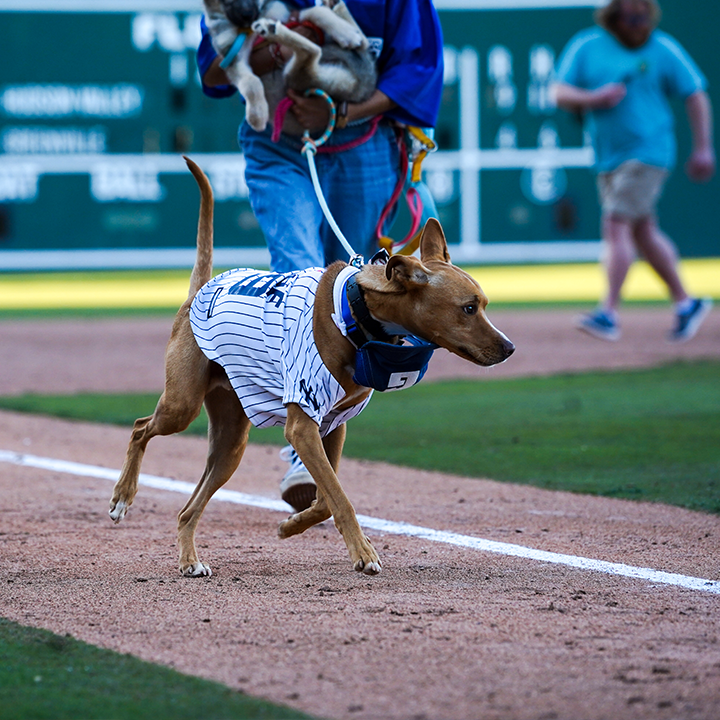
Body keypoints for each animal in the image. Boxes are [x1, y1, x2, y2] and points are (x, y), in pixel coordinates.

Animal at [108, 159, 512, 580]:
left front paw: (291, 525)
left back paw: (189, 559)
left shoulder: (334, 422)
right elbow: (340, 498)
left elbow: (324, 499)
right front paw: (363, 553)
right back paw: (122, 497)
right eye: (469, 308)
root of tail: (199, 291)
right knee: (140, 427)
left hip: (231, 441)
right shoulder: (303, 424)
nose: (509, 348)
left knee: (187, 510)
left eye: (484, 304)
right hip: (182, 404)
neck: (355, 313)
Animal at [201, 0, 376, 134]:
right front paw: (257, 114)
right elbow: (251, 83)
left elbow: (314, 11)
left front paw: (344, 32)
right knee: (311, 53)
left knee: (358, 42)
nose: (248, 16)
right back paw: (272, 30)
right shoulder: (233, 59)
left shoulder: (289, 16)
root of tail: (365, 85)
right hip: (299, 77)